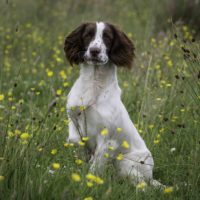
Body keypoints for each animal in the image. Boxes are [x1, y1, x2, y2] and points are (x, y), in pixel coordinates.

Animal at [64, 22, 162, 187]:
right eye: (88, 35)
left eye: (107, 37)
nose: (94, 51)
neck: (94, 84)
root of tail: (151, 176)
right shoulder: (72, 117)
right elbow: (75, 139)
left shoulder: (108, 140)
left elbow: (95, 167)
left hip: (126, 164)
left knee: (141, 186)